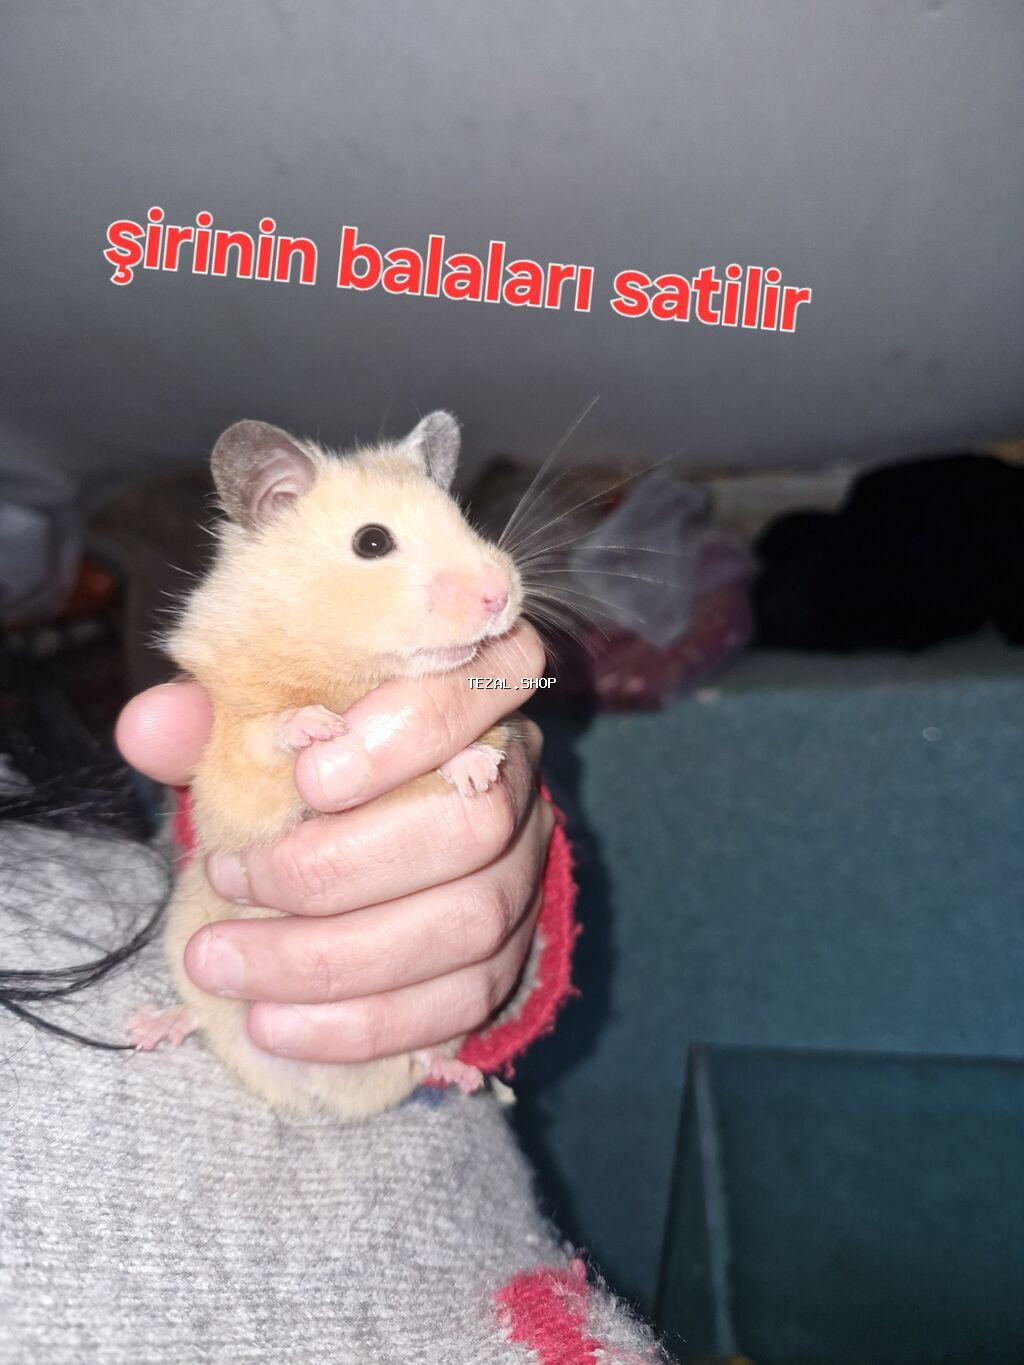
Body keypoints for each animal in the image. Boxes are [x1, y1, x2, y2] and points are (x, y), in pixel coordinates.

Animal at [128, 411, 524, 1119]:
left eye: (462, 516)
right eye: (372, 541)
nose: (500, 594)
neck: (351, 677)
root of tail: (318, 1097)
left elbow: (479, 739)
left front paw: (476, 772)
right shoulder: (229, 771)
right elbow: (262, 739)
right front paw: (317, 728)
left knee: (426, 1057)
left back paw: (467, 1077)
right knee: (201, 1016)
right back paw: (149, 1027)